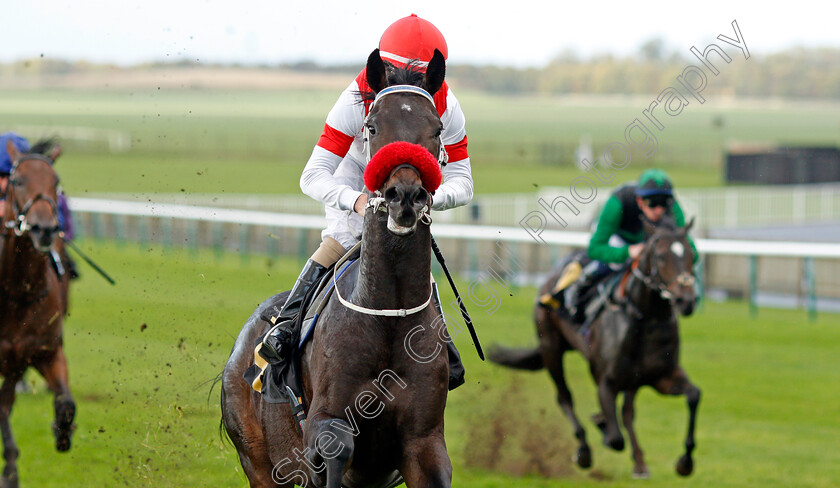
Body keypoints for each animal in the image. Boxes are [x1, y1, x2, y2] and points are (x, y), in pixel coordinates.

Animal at [221, 48, 452, 488]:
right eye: (372, 126)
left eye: (436, 129)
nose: (405, 196)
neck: (388, 314)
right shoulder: (323, 421)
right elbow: (336, 445)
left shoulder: (424, 440)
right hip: (257, 461)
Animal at [488, 217, 700, 476]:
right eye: (660, 256)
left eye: (692, 255)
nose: (686, 300)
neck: (645, 318)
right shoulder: (606, 381)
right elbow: (615, 438)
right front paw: (601, 425)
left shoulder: (661, 375)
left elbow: (693, 395)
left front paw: (685, 462)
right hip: (551, 347)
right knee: (565, 398)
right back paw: (584, 451)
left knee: (627, 412)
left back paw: (639, 462)